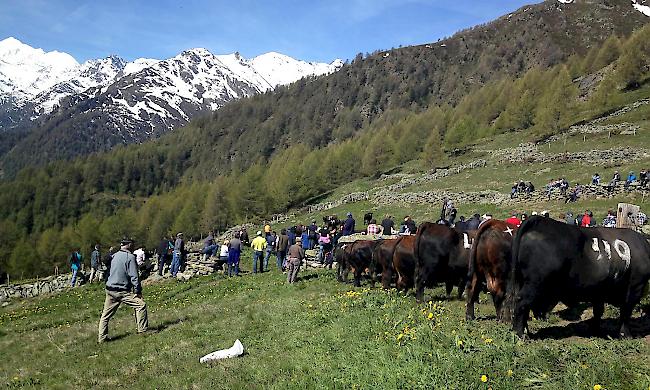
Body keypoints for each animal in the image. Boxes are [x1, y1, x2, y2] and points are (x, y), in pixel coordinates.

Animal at [508, 216, 648, 338]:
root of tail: (540, 221)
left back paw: (524, 331)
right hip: (535, 284)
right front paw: (626, 335)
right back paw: (520, 334)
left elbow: (598, 311)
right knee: (521, 303)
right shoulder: (635, 287)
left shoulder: (599, 291)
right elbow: (626, 312)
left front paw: (596, 331)